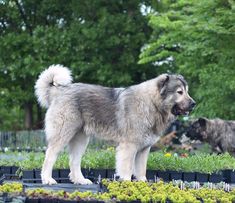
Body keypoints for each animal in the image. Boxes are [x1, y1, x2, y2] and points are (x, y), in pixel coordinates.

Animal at [35, 64, 196, 184]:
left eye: (187, 91)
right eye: (179, 92)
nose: (194, 103)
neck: (152, 103)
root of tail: (59, 91)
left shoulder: (144, 149)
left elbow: (141, 170)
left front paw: (142, 183)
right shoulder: (129, 147)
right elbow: (127, 168)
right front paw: (127, 184)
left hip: (80, 140)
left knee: (74, 161)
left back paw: (80, 180)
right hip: (63, 134)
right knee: (49, 156)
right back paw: (48, 179)